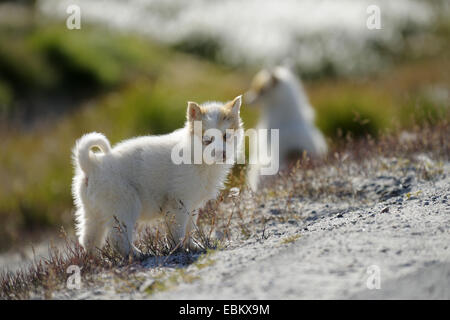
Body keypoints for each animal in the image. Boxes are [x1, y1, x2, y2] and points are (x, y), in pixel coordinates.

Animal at [72, 95, 244, 258]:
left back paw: (95, 260)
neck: (197, 156)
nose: (222, 154)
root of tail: (92, 164)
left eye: (226, 136)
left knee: (89, 239)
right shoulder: (178, 203)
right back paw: (136, 254)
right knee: (118, 239)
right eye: (207, 140)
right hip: (124, 206)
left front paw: (193, 246)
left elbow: (190, 227)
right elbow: (178, 231)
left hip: (92, 212)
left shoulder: (192, 205)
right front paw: (178, 249)